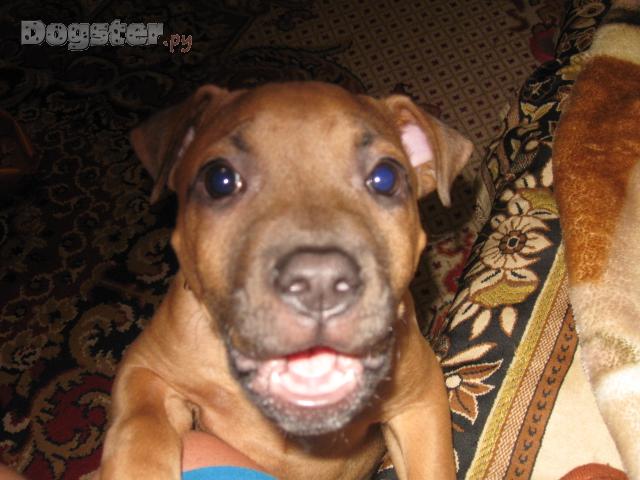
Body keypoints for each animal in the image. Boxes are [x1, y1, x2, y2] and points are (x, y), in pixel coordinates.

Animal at [98, 81, 472, 480]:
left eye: (385, 177)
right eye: (219, 180)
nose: (319, 281)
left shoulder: (421, 398)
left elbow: (433, 467)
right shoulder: (144, 367)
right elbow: (140, 426)